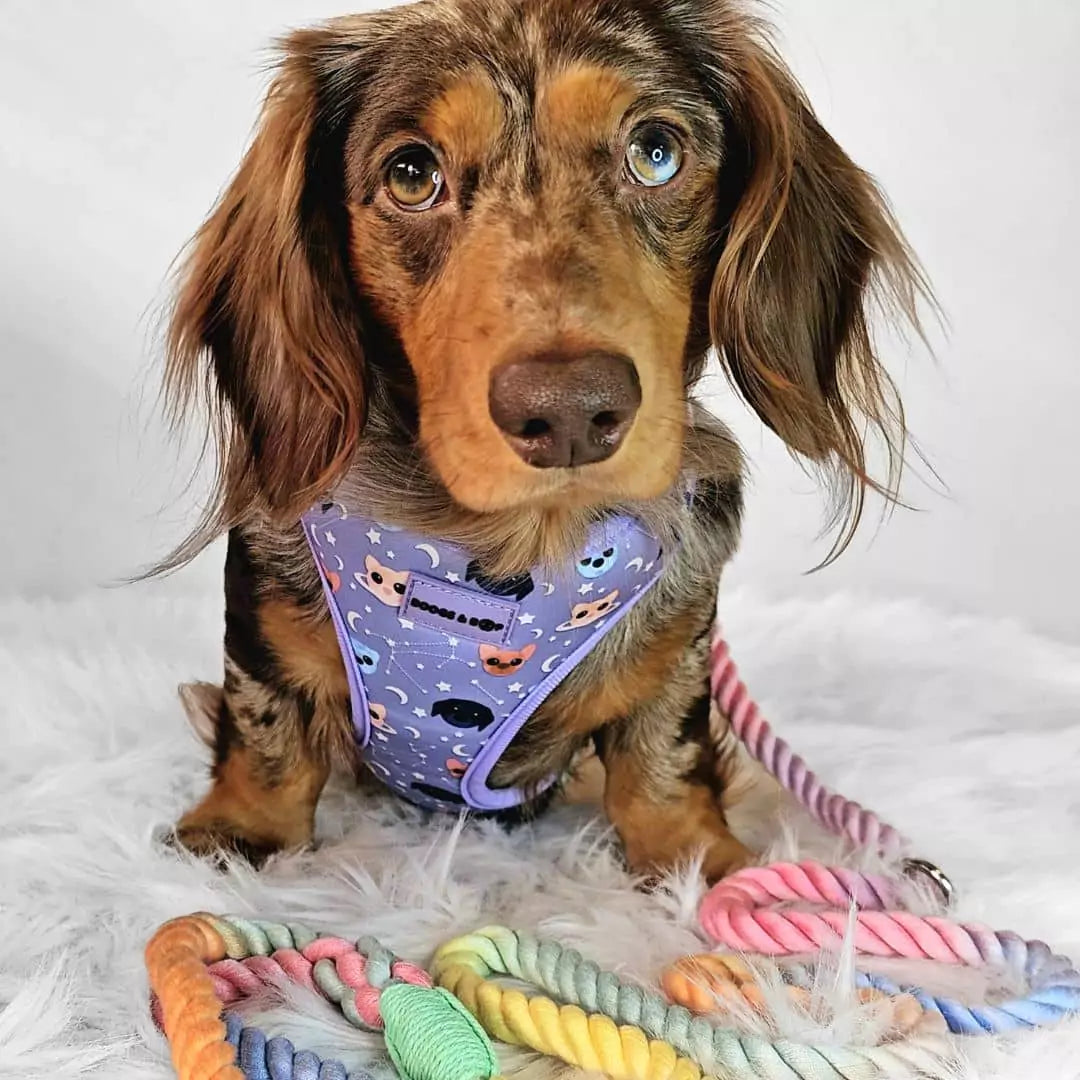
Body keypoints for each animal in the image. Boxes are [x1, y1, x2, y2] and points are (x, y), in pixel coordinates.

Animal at [164, 0, 924, 876]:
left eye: (655, 153)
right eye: (412, 174)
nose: (568, 413)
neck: (511, 550)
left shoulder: (681, 651)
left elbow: (664, 755)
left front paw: (697, 862)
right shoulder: (261, 620)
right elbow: (268, 731)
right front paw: (240, 830)